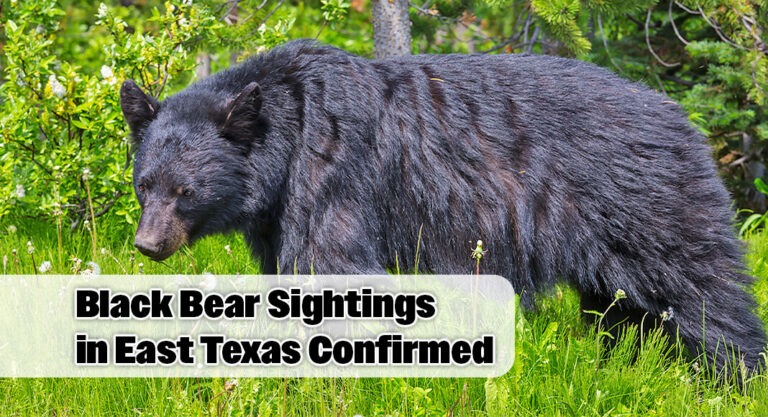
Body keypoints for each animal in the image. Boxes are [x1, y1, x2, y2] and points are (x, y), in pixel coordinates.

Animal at [120, 39, 767, 374]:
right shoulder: (278, 214)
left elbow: (333, 265)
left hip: (648, 203)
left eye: (186, 190)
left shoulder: (334, 171)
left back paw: (732, 377)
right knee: (627, 310)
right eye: (144, 183)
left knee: (702, 291)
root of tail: (682, 117)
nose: (148, 245)